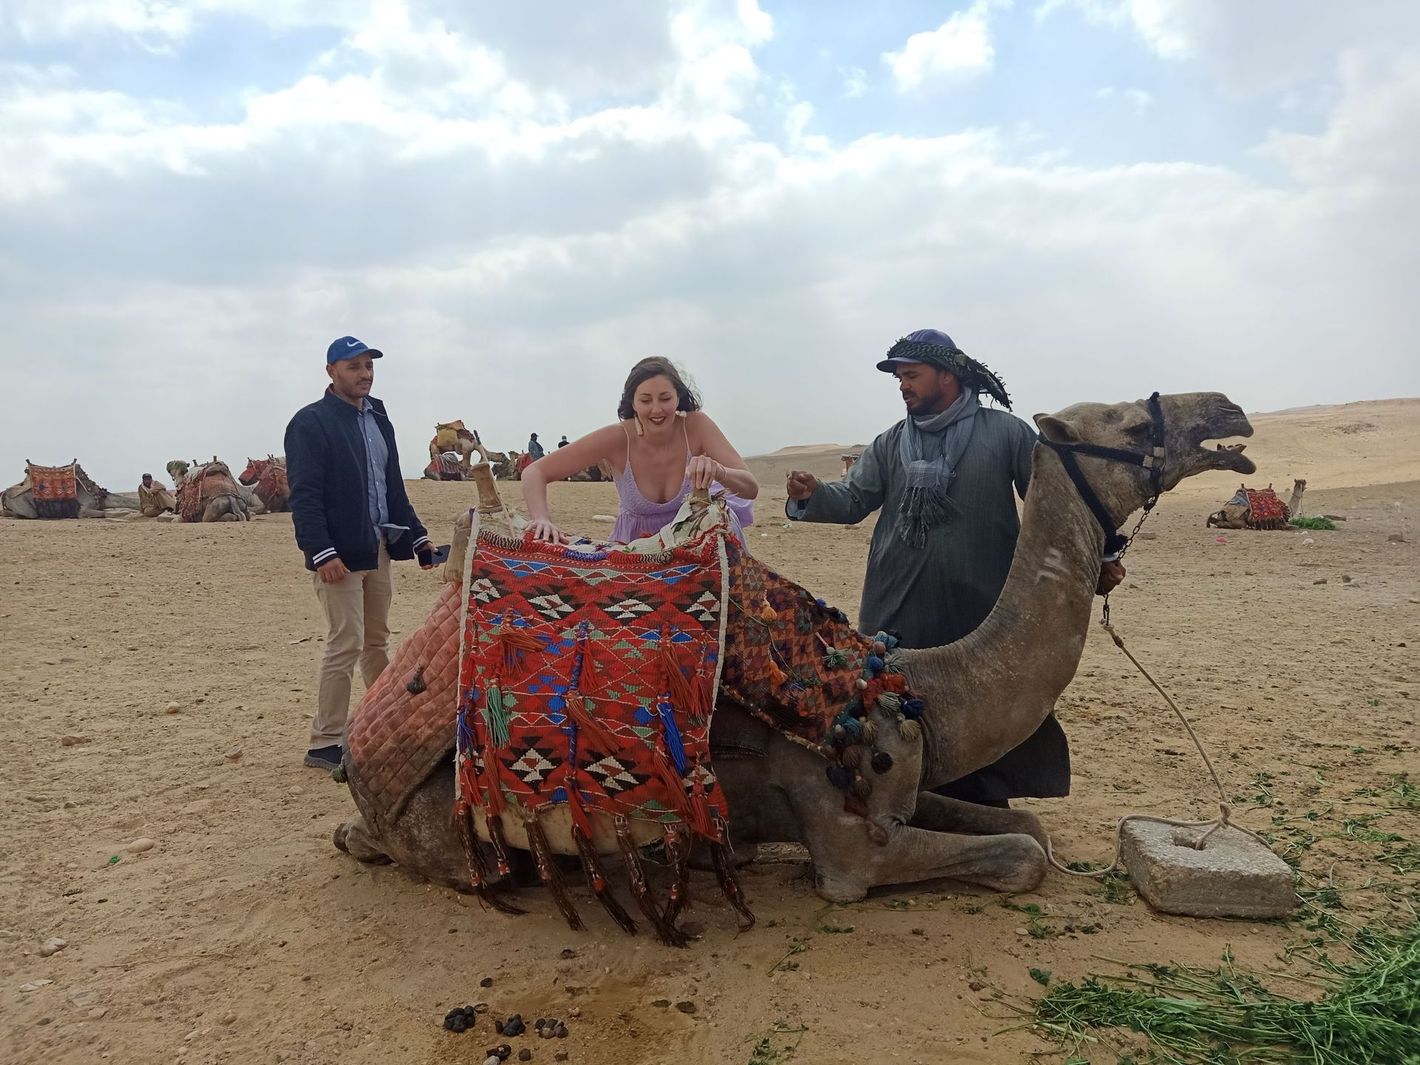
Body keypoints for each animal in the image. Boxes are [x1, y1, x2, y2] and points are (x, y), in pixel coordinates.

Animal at [0, 462, 139, 522]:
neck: (100, 496)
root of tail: (4, 493)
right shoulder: (84, 509)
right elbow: (104, 513)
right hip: (22, 505)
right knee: (29, 514)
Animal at [332, 394, 1255, 942]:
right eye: (1131, 425)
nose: (1232, 415)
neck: (917, 690)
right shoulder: (848, 844)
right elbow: (1017, 854)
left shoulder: (903, 790)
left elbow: (1028, 822)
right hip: (456, 836)